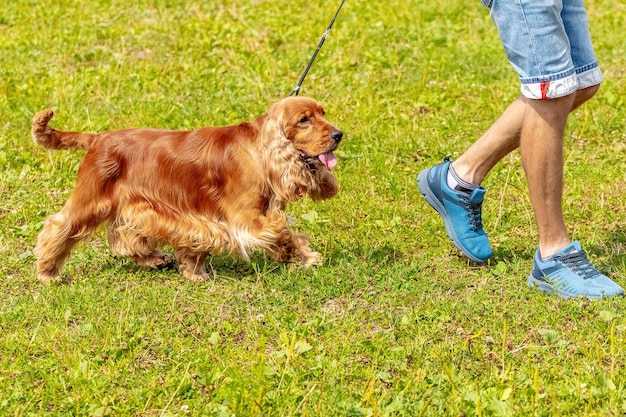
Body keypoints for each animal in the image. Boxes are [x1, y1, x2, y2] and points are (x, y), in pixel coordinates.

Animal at [30, 95, 342, 282]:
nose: (339, 134)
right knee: (59, 225)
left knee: (125, 237)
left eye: (323, 112)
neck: (259, 149)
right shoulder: (246, 219)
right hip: (91, 199)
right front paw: (304, 257)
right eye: (304, 120)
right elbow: (282, 232)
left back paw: (154, 259)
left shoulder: (199, 215)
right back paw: (48, 273)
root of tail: (97, 139)